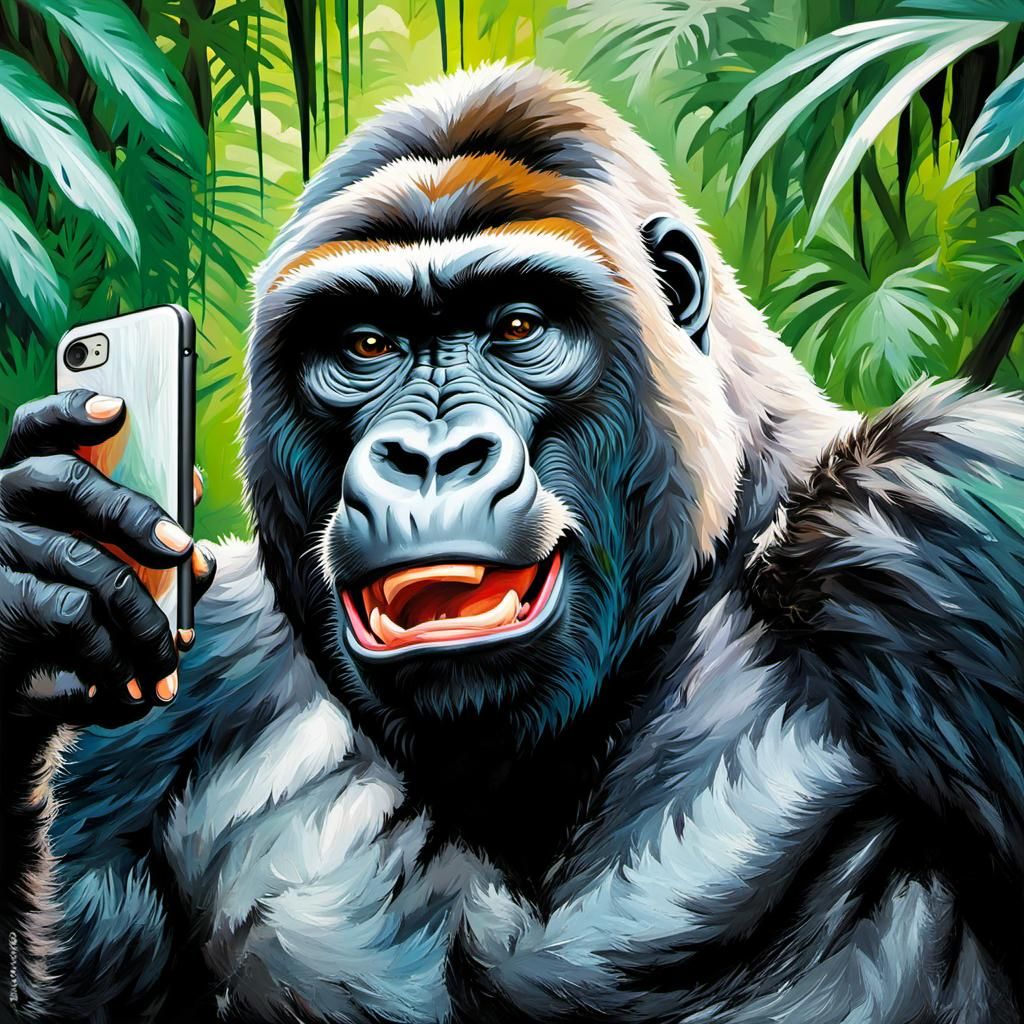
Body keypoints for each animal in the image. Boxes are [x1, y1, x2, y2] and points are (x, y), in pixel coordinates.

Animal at [2, 60, 1024, 1022]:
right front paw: (44, 568)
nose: (430, 457)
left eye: (520, 326)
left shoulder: (933, 509)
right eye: (365, 344)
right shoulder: (187, 685)